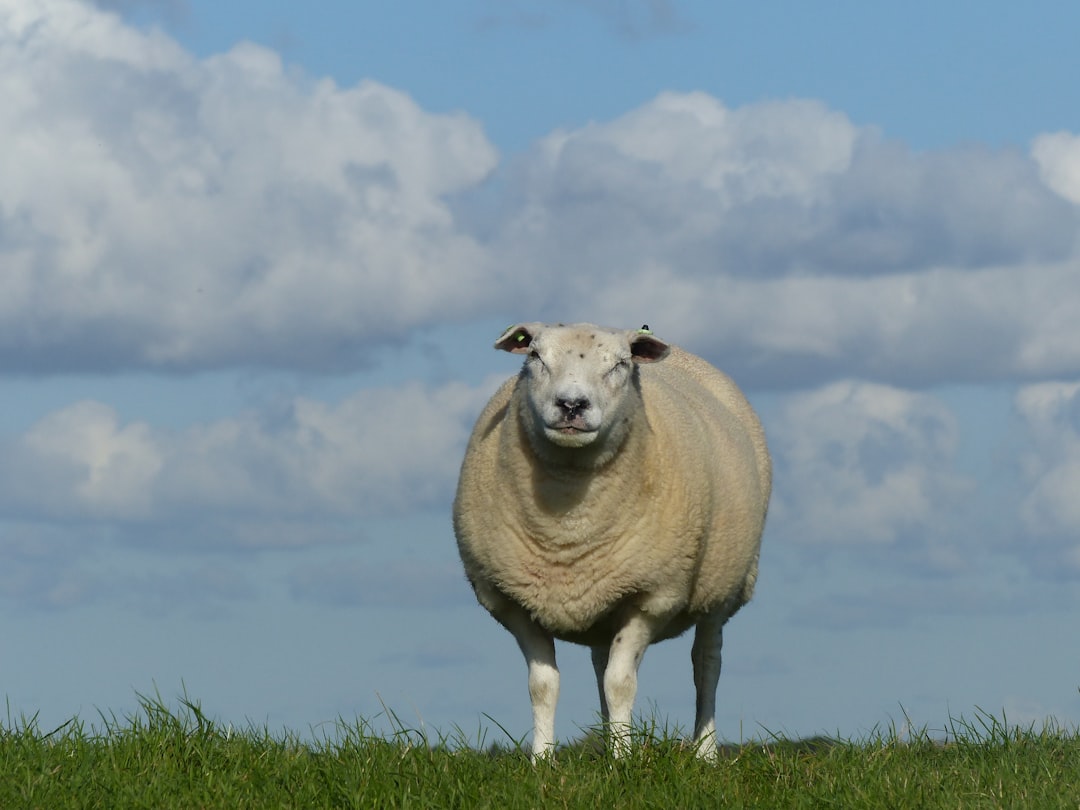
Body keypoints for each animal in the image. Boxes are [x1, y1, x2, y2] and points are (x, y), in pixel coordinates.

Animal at [451, 324, 773, 760]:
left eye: (620, 364)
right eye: (535, 356)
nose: (571, 405)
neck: (569, 522)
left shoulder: (651, 596)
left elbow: (620, 683)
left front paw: (623, 760)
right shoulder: (512, 601)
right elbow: (543, 685)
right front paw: (542, 760)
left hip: (721, 586)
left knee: (706, 663)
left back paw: (704, 751)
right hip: (604, 603)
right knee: (601, 662)